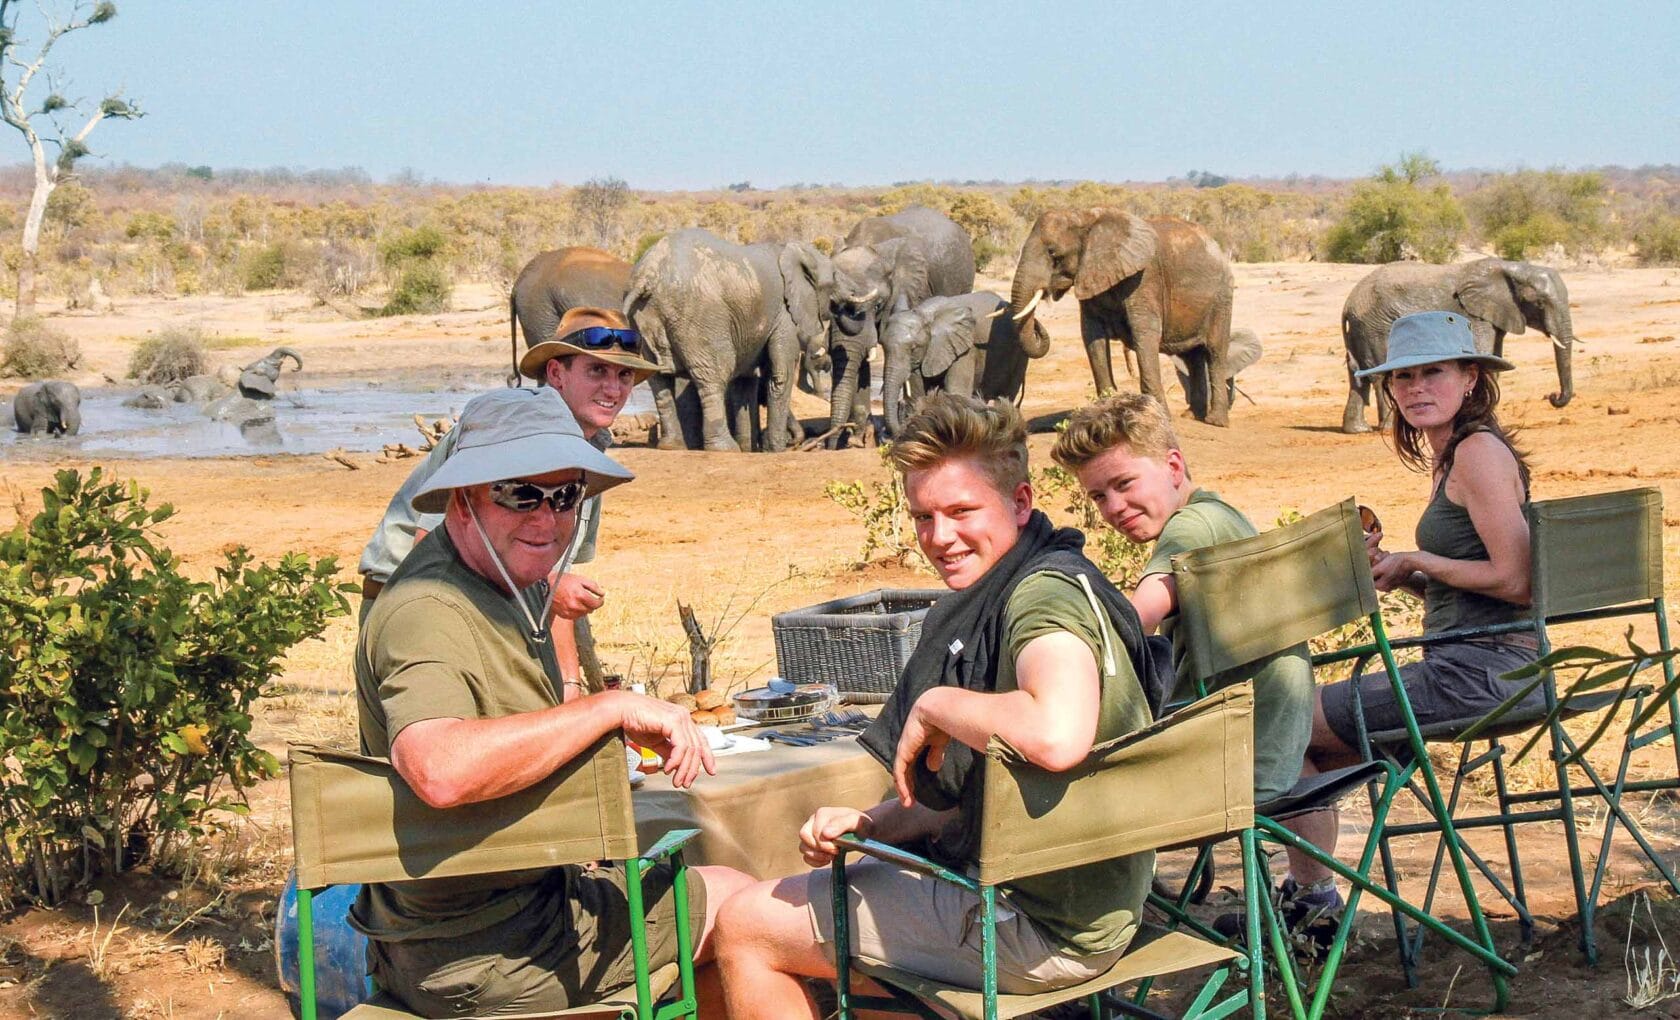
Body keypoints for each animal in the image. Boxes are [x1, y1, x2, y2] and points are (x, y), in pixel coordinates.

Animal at [625, 229, 833, 452]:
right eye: (832, 289)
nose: (794, 442)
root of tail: (648, 276)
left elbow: (745, 380)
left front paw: (752, 449)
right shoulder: (784, 314)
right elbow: (780, 375)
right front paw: (775, 451)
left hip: (644, 319)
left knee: (659, 379)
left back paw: (672, 446)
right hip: (700, 316)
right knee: (714, 376)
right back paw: (725, 448)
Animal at [824, 206, 976, 447]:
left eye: (877, 304)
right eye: (827, 304)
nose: (829, 445)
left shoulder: (915, 287)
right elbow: (857, 361)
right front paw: (857, 442)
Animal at [879, 291, 1030, 437]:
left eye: (913, 348)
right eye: (882, 346)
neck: (925, 314)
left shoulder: (965, 349)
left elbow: (956, 391)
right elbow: (918, 396)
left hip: (1021, 352)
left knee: (1007, 395)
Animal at [1009, 208, 1236, 426]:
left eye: (1053, 253)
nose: (1037, 323)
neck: (1085, 217)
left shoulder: (1145, 278)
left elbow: (1144, 332)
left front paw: (1156, 415)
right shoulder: (1089, 276)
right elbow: (1092, 336)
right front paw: (1105, 412)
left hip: (1222, 298)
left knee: (1215, 352)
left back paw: (1216, 422)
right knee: (1192, 357)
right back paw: (1191, 416)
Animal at [1340, 257, 1577, 433]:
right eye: (1540, 303)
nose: (1553, 396)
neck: (1512, 268)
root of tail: (1348, 304)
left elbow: (1493, 358)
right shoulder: (1475, 314)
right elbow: (1483, 354)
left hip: (1360, 329)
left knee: (1357, 376)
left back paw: (1358, 430)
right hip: (1376, 327)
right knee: (1379, 376)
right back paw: (1387, 428)